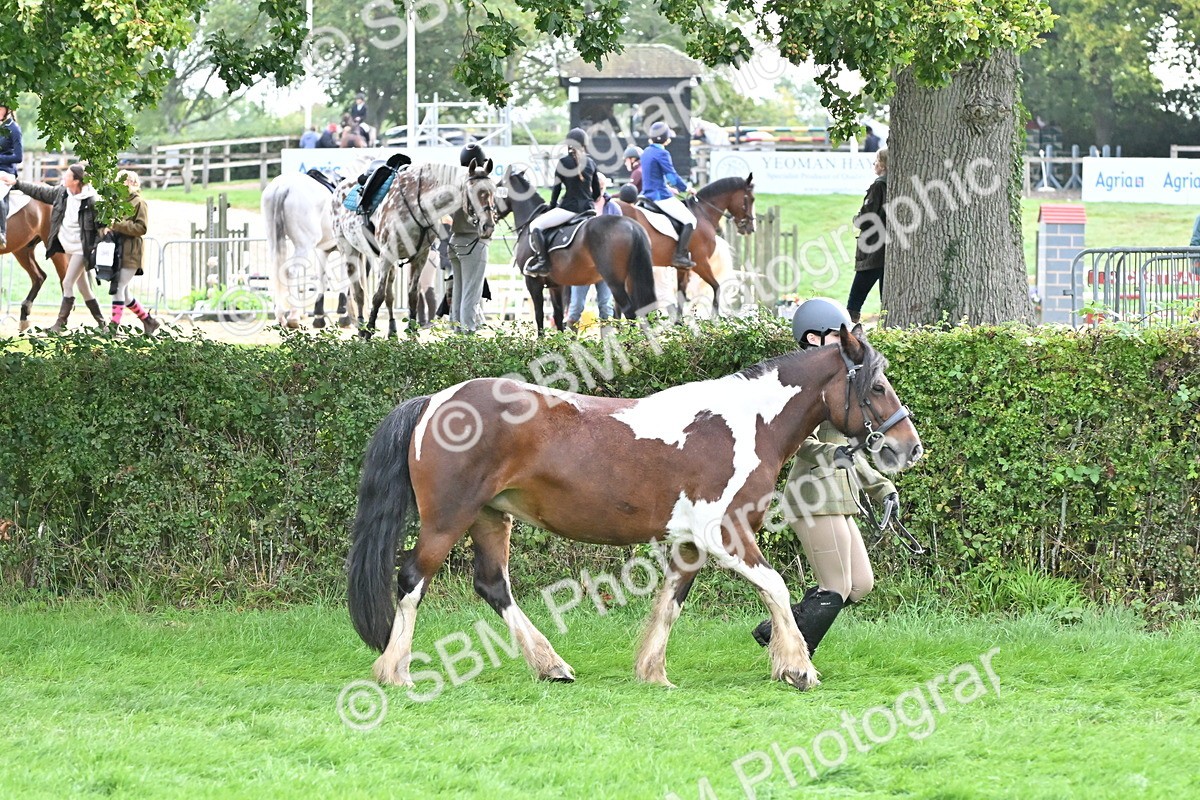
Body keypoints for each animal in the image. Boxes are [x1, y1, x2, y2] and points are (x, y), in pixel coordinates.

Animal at [261, 171, 352, 329]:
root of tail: (284, 186)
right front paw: (344, 314)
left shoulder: (324, 250)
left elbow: (323, 279)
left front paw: (319, 316)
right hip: (303, 245)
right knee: (291, 272)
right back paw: (293, 316)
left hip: (273, 241)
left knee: (277, 273)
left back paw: (281, 316)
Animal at [334, 160, 497, 338]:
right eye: (472, 192)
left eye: (492, 191)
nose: (488, 226)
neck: (417, 205)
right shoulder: (386, 255)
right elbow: (377, 296)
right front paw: (369, 333)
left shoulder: (420, 256)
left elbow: (412, 295)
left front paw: (412, 335)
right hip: (349, 252)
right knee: (359, 293)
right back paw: (362, 330)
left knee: (389, 296)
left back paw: (391, 331)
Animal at [348, 324, 923, 691]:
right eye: (877, 385)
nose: (909, 448)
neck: (747, 424)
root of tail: (435, 401)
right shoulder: (726, 535)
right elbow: (777, 586)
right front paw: (797, 668)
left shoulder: (691, 544)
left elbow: (671, 601)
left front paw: (653, 672)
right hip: (448, 519)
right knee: (412, 579)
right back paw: (396, 673)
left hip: (491, 517)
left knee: (492, 585)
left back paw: (551, 665)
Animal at [497, 168, 658, 336]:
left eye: (497, 186)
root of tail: (632, 225)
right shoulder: (556, 285)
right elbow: (558, 315)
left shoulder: (533, 281)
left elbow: (539, 315)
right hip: (631, 279)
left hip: (614, 281)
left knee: (629, 311)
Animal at [616, 175, 756, 317]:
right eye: (752, 199)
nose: (750, 228)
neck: (702, 214)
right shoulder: (701, 263)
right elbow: (716, 287)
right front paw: (714, 317)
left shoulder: (682, 268)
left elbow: (681, 295)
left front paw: (679, 321)